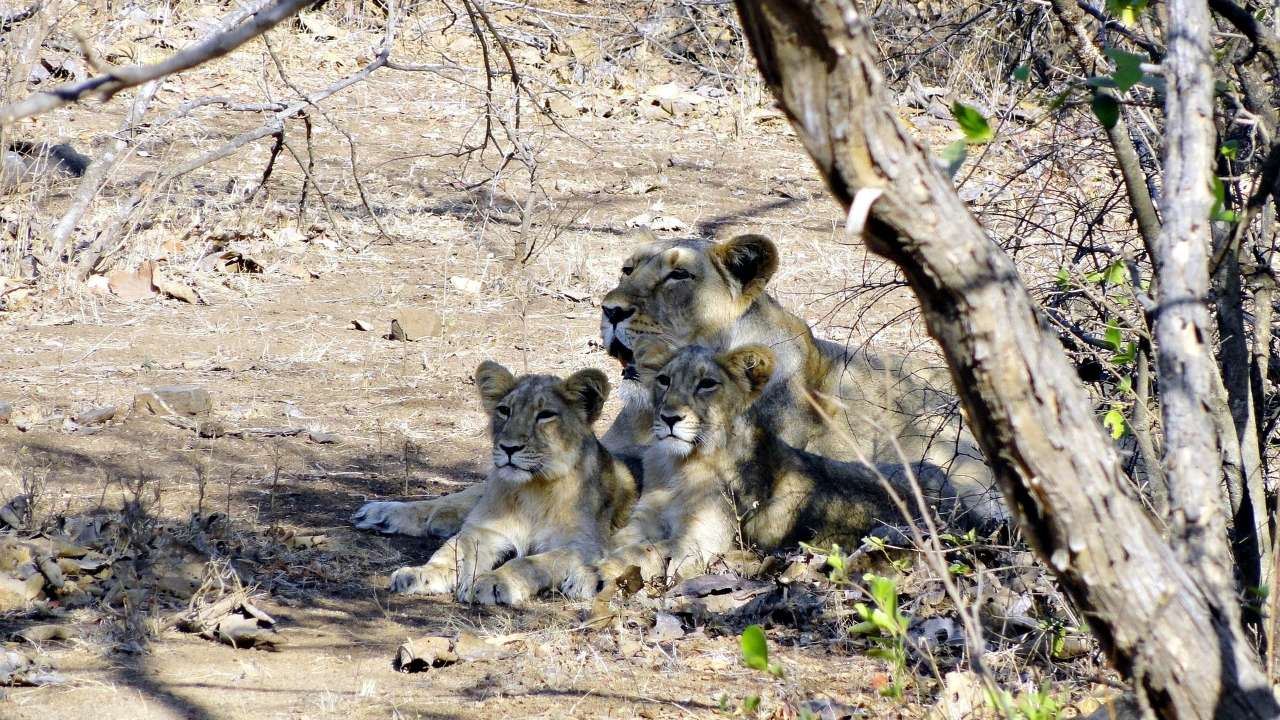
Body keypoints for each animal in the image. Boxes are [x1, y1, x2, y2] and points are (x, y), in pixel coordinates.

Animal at [384, 361, 634, 602]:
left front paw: (493, 582)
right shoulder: (482, 530)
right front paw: (421, 573)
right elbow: (450, 551)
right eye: (505, 410)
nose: (509, 448)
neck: (533, 489)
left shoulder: (583, 546)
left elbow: (529, 563)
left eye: (545, 414)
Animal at [599, 340, 962, 576]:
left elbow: (646, 550)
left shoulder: (701, 542)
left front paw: (601, 568)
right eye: (664, 380)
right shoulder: (645, 517)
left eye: (707, 384)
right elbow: (620, 540)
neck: (679, 464)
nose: (670, 418)